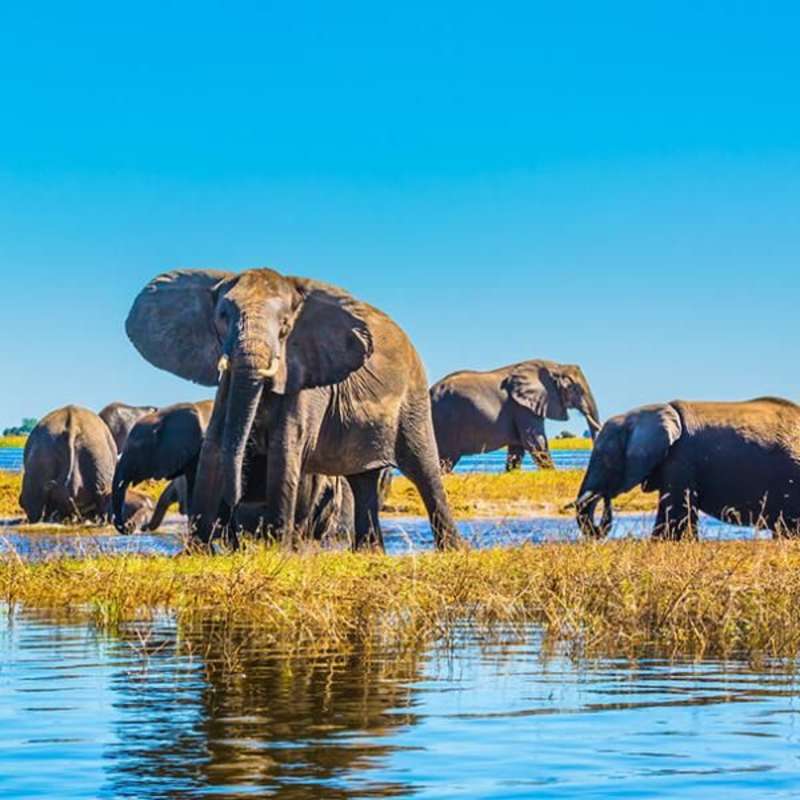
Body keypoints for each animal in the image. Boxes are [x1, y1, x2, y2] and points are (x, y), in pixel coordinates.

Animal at [125, 267, 460, 550]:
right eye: (222, 315)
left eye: (285, 326)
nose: (236, 502)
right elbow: (215, 446)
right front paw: (198, 553)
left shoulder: (307, 377)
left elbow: (284, 448)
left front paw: (276, 550)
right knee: (361, 480)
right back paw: (370, 553)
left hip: (413, 398)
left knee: (423, 470)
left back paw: (452, 550)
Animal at [429, 360, 600, 472]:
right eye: (577, 389)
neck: (555, 367)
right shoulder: (522, 407)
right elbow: (535, 441)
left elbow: (517, 448)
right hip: (445, 421)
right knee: (446, 459)